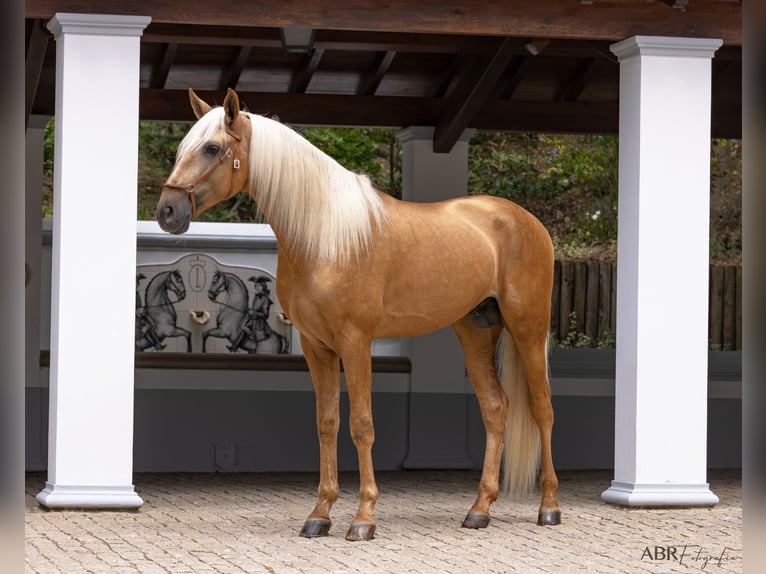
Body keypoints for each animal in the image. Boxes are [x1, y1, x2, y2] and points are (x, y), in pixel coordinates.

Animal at [158, 88, 564, 544]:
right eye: (183, 148)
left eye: (212, 148)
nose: (167, 211)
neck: (324, 238)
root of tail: (527, 221)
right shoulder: (316, 347)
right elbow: (327, 423)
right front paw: (320, 514)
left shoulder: (356, 342)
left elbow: (361, 424)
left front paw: (363, 517)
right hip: (475, 329)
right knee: (496, 408)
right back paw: (479, 510)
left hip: (528, 328)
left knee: (542, 407)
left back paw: (549, 507)